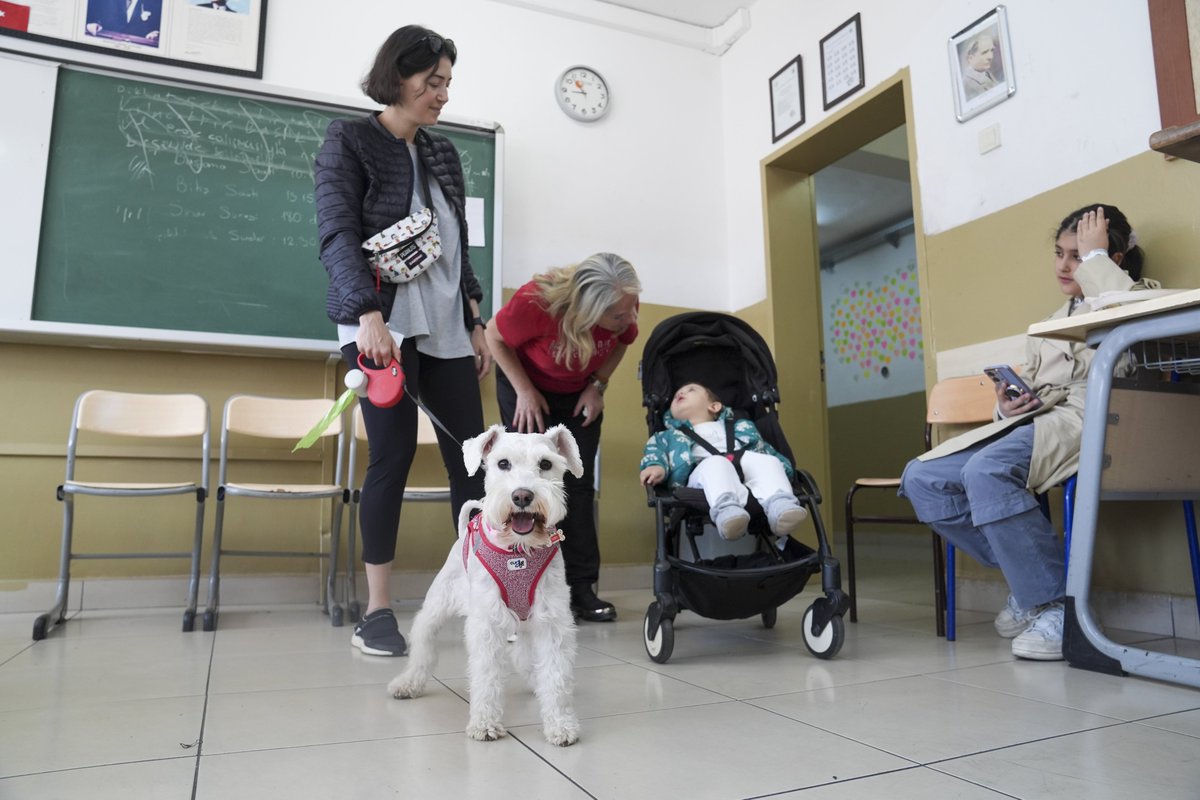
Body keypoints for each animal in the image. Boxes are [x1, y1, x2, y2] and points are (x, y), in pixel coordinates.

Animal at [388, 422, 585, 748]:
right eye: (502, 463)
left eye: (546, 464)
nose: (522, 496)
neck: (519, 551)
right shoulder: (486, 625)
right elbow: (486, 676)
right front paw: (485, 724)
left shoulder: (552, 622)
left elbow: (556, 675)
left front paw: (560, 725)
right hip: (437, 605)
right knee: (423, 644)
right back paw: (407, 683)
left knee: (525, 655)